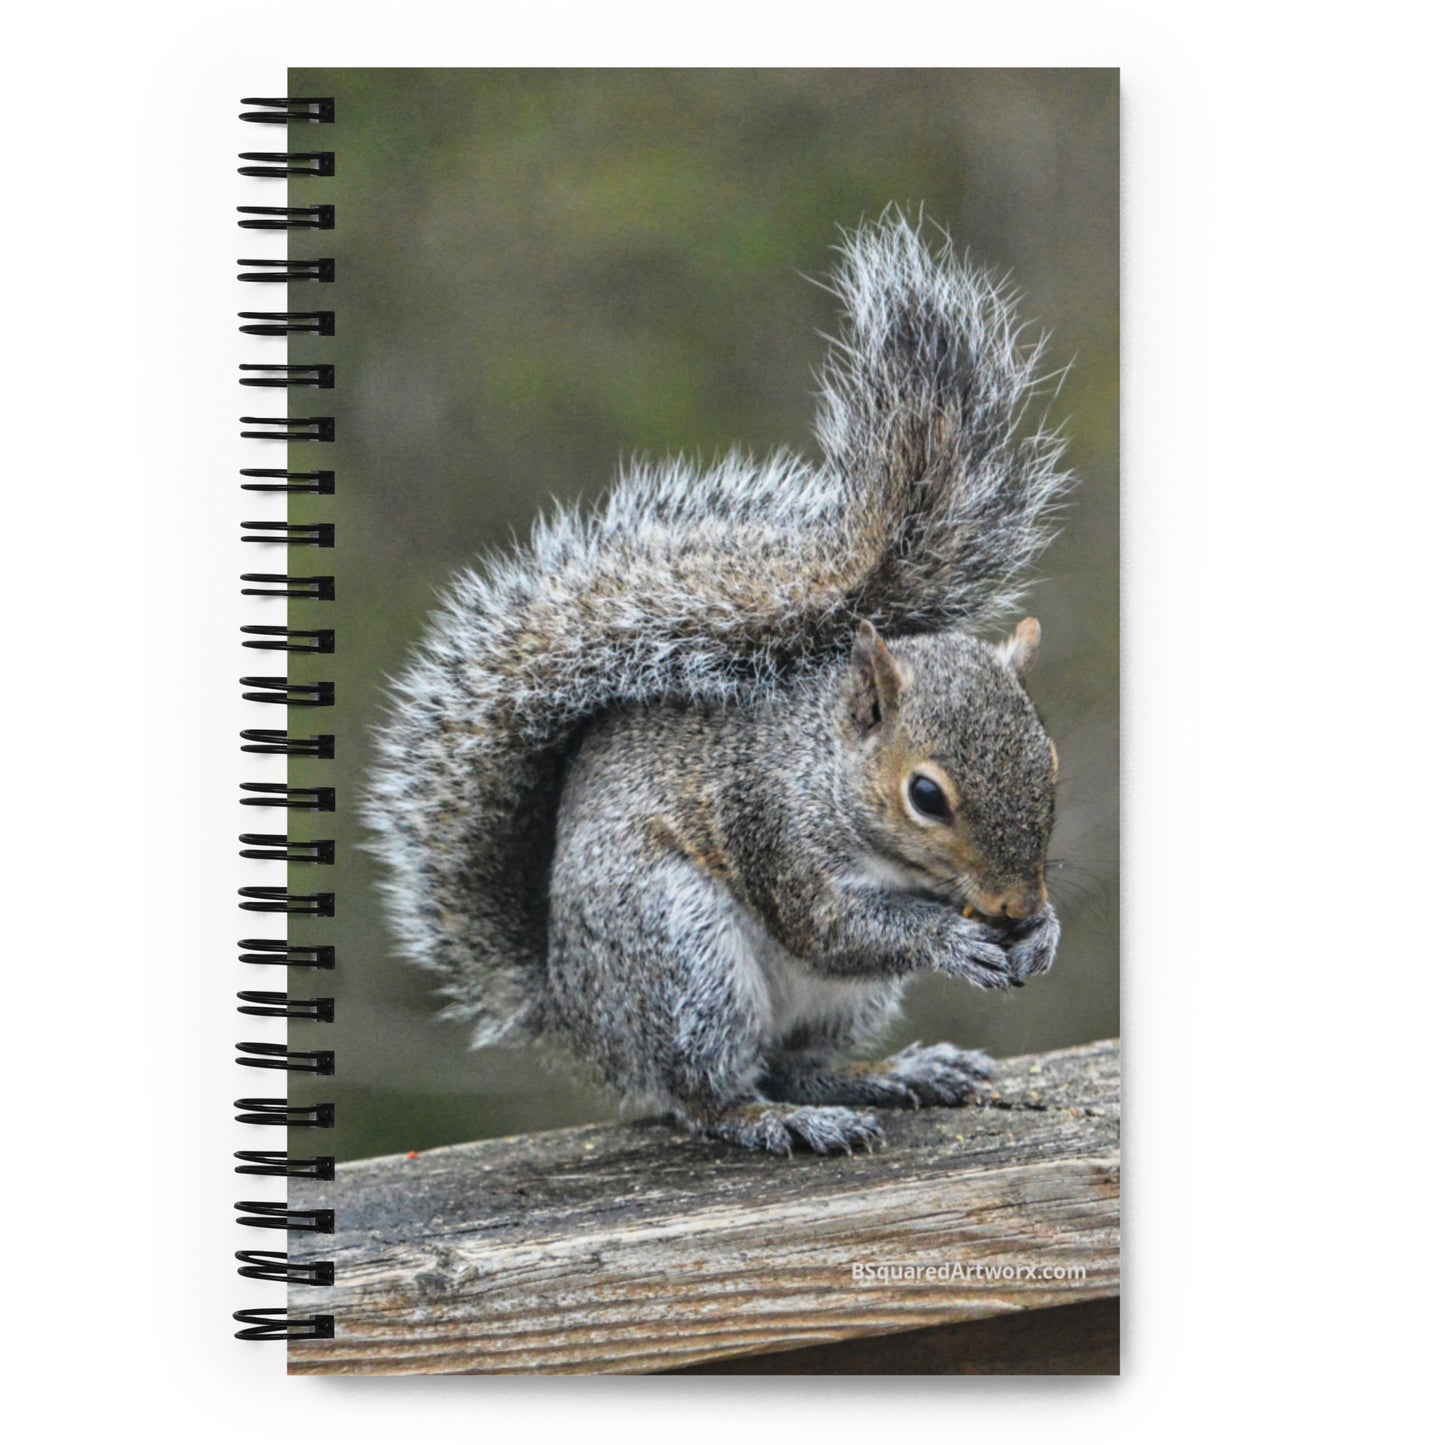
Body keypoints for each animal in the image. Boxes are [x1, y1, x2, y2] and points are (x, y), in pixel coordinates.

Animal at [366, 210, 1073, 1155]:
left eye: (1049, 765)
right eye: (925, 794)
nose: (1014, 905)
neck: (827, 768)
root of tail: (584, 1020)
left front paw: (1043, 937)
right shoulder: (775, 831)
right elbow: (835, 927)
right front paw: (951, 941)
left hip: (832, 1004)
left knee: (797, 1058)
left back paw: (891, 1073)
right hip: (681, 958)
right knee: (709, 1091)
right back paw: (782, 1119)